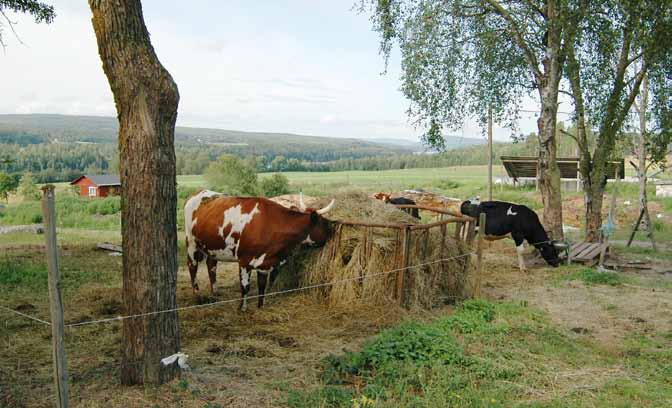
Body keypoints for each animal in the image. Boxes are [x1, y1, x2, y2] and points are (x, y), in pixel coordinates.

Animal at [185, 190, 334, 310]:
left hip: (212, 247)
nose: (333, 229)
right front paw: (242, 308)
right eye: (324, 223)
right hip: (191, 243)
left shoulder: (265, 262)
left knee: (211, 265)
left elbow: (262, 286)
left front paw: (260, 306)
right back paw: (197, 296)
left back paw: (215, 292)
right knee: (192, 267)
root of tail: (199, 192)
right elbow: (245, 286)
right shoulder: (244, 261)